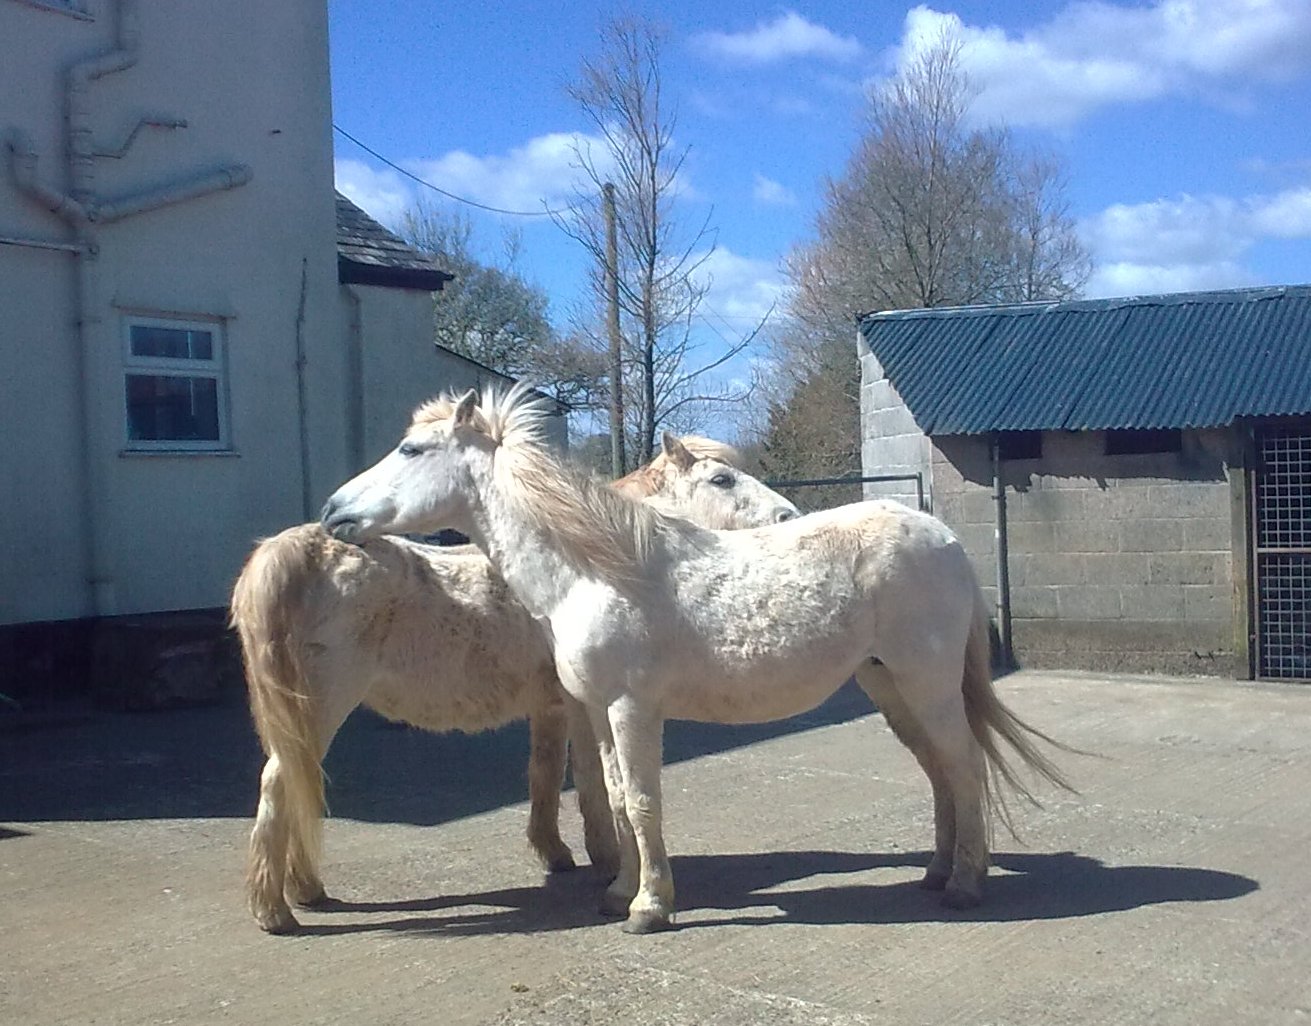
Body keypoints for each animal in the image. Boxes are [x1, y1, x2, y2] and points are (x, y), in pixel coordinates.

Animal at [234, 431, 798, 934]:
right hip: (323, 706)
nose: (788, 517)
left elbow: (545, 776)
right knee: (279, 784)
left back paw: (303, 889)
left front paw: (558, 853)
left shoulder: (549, 708)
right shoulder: (581, 705)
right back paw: (274, 910)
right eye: (722, 479)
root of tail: (298, 547)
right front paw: (609, 860)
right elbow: (593, 782)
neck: (585, 568)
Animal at [321, 385, 1076, 934]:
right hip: (891, 689)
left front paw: (649, 908)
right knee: (941, 773)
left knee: (963, 767)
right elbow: (617, 799)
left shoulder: (631, 709)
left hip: (927, 685)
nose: (331, 511)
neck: (594, 573)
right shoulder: (595, 710)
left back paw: (966, 886)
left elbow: (644, 801)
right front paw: (618, 891)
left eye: (411, 448)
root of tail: (942, 535)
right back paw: (937, 873)